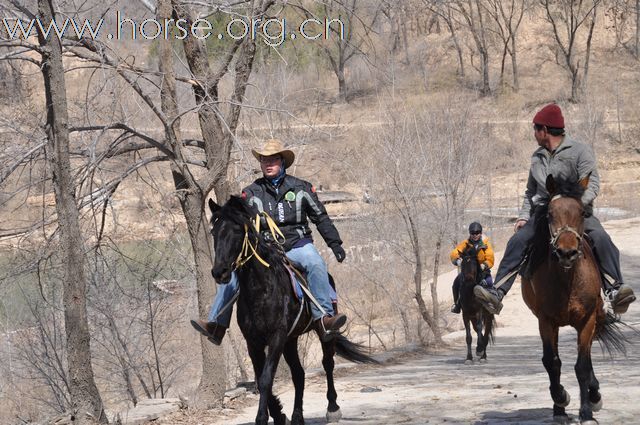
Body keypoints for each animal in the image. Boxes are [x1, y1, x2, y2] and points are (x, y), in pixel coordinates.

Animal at [208, 196, 378, 424]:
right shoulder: (254, 341)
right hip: (291, 340)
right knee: (299, 374)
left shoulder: (276, 336)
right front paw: (279, 414)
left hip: (322, 333)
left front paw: (262, 417)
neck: (261, 290)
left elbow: (266, 379)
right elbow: (262, 378)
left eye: (237, 231)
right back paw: (297, 416)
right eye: (214, 232)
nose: (220, 272)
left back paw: (333, 408)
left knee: (327, 363)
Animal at [520, 173, 624, 424]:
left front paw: (586, 411)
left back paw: (594, 395)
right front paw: (561, 399)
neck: (567, 280)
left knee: (587, 358)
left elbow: (582, 366)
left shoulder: (587, 320)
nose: (566, 252)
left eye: (582, 213)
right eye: (550, 213)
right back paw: (559, 407)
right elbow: (552, 362)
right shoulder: (546, 321)